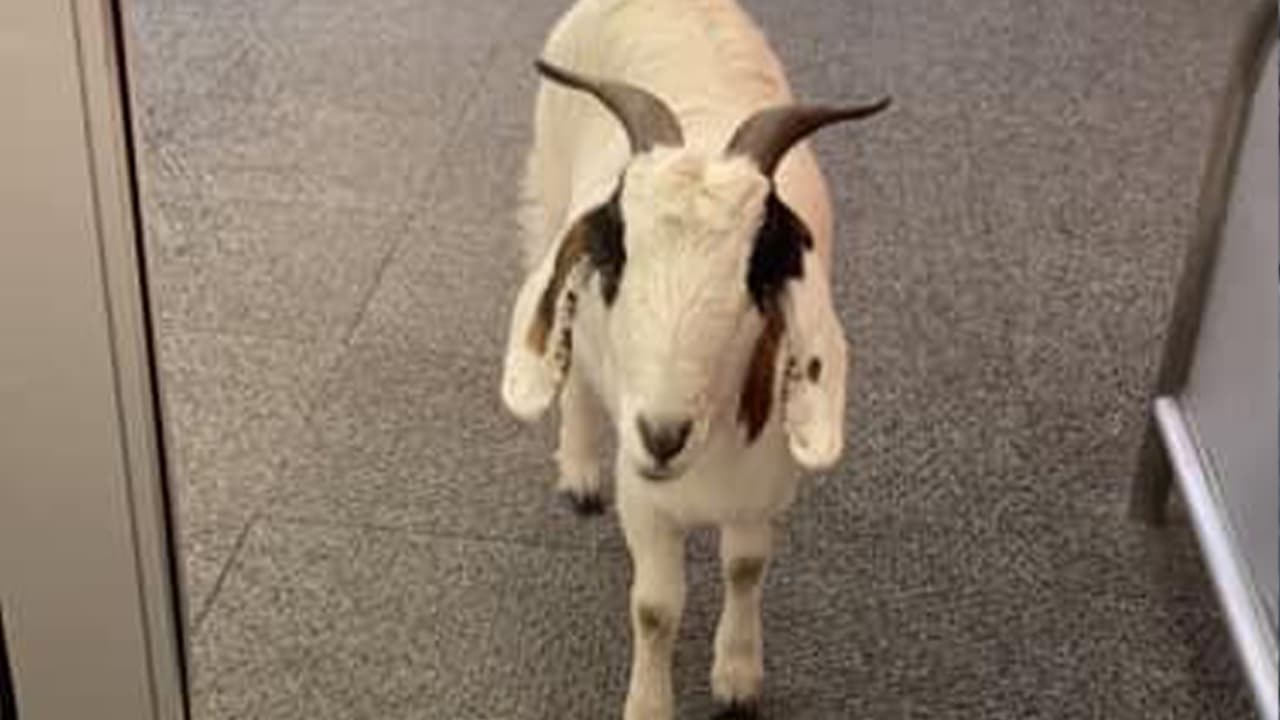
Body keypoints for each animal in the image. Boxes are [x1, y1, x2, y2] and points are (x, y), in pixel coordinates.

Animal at [500, 1, 889, 717]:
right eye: (615, 259)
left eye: (758, 271)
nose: (662, 435)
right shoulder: (645, 501)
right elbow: (656, 609)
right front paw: (650, 704)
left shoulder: (766, 490)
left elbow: (745, 568)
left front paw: (737, 677)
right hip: (546, 196)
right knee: (573, 365)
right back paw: (579, 470)